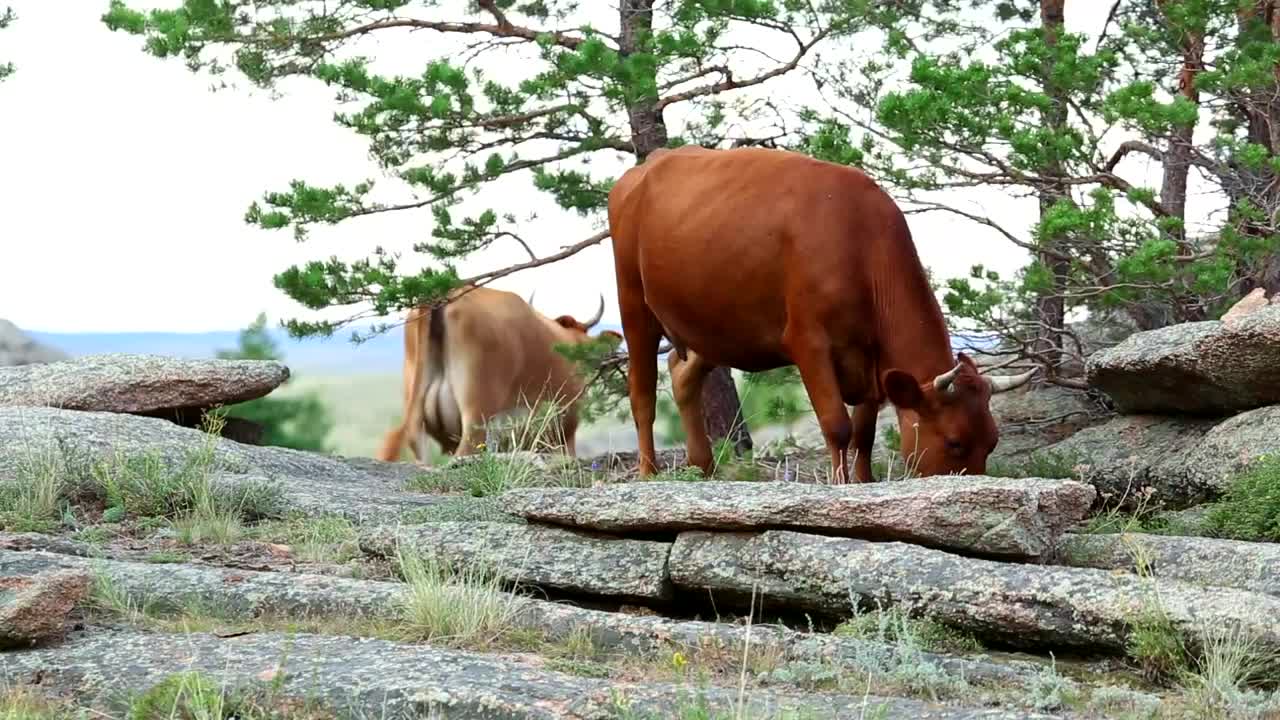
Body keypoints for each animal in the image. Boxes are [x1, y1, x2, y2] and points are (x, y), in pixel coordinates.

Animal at [604, 144, 1034, 481]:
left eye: (992, 441)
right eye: (954, 441)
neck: (861, 242)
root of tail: (648, 165)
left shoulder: (871, 359)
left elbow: (864, 433)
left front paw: (865, 482)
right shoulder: (808, 341)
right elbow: (838, 426)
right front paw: (841, 485)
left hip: (712, 326)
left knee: (682, 375)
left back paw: (703, 466)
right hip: (634, 304)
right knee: (642, 394)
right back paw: (649, 473)